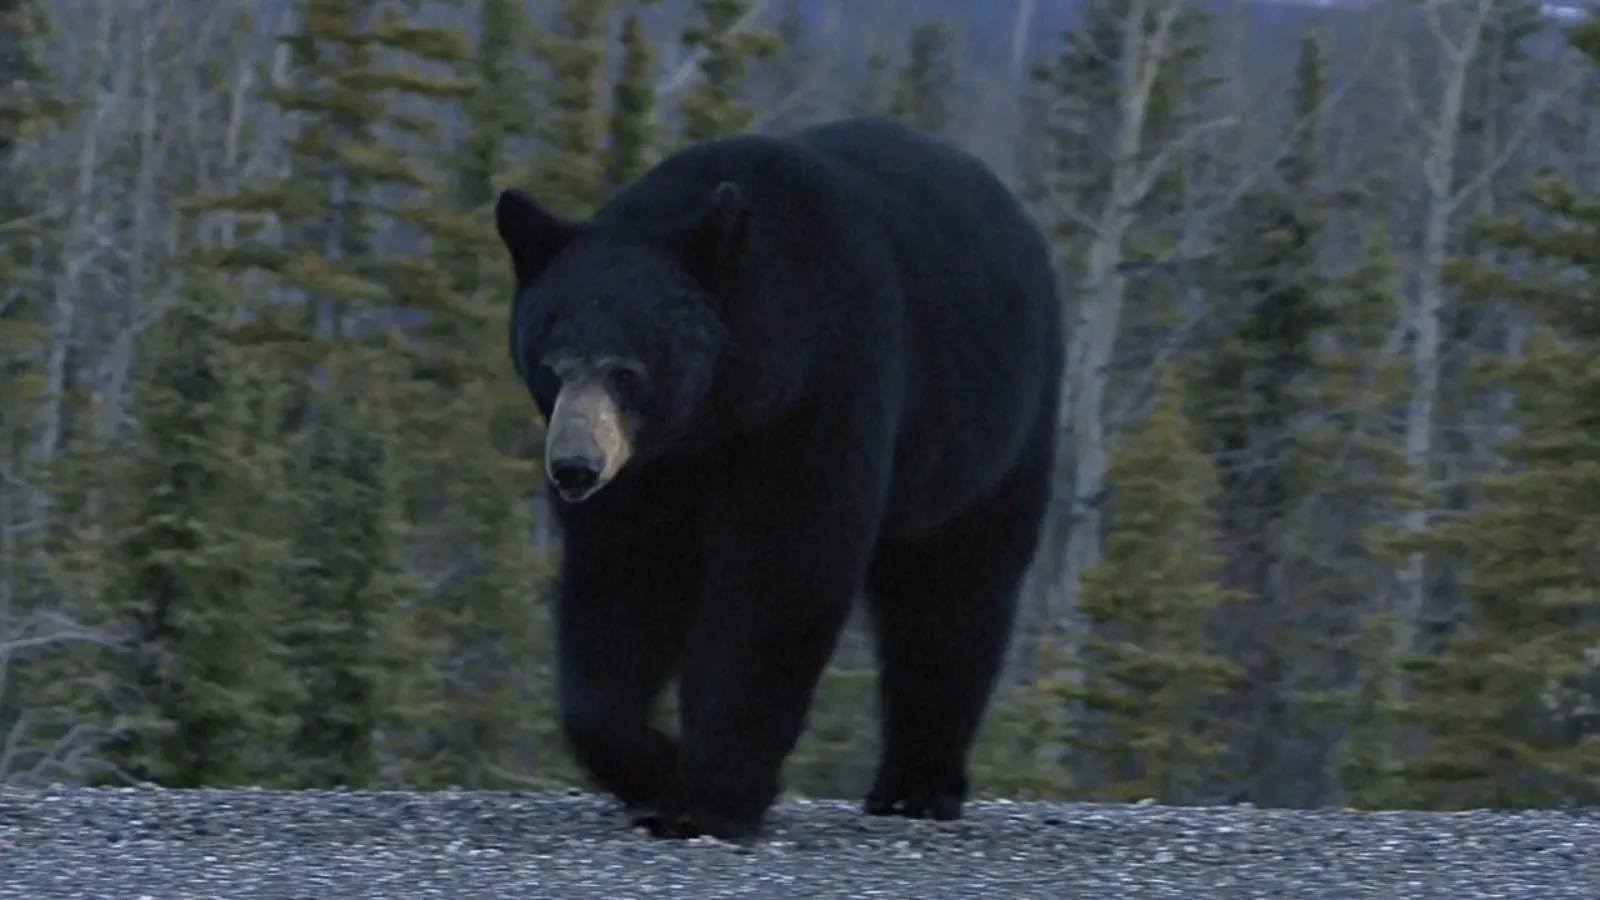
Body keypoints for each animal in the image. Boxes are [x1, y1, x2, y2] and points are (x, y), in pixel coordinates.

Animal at [493, 116, 1064, 841]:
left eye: (626, 372)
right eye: (550, 363)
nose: (574, 467)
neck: (719, 412)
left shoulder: (820, 392)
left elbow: (780, 575)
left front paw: (710, 795)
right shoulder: (650, 474)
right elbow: (620, 584)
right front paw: (655, 765)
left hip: (990, 435)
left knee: (954, 595)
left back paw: (917, 786)